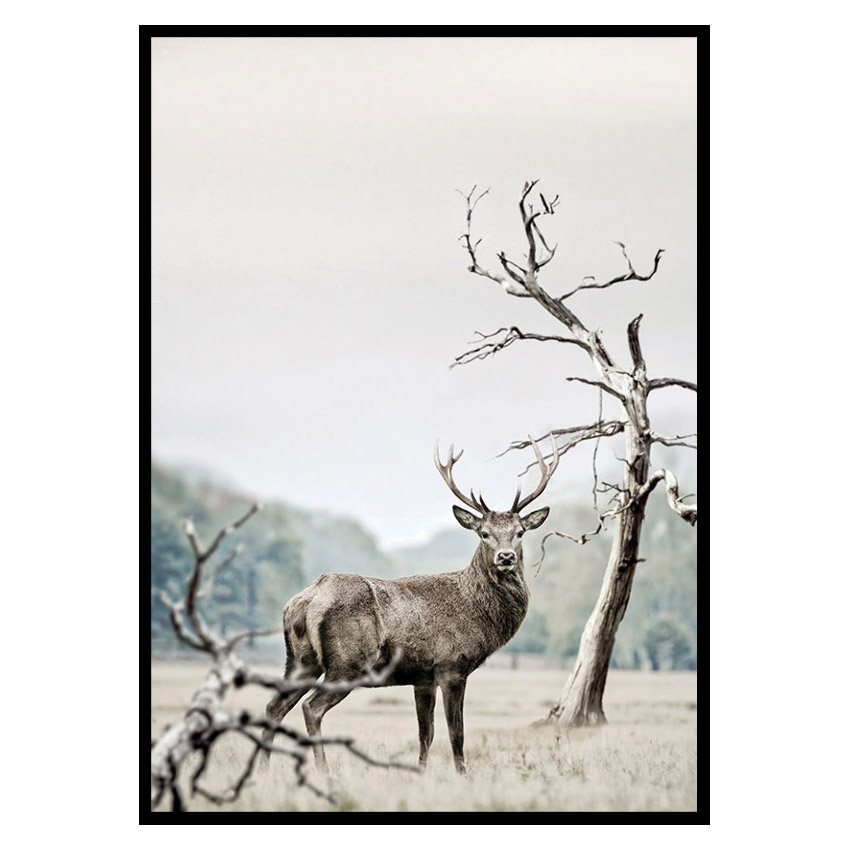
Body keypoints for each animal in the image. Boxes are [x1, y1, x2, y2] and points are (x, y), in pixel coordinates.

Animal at [261, 436, 558, 774]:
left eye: (519, 532)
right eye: (484, 533)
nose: (505, 557)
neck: (477, 612)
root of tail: (305, 599)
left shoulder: (423, 677)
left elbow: (425, 733)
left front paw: (421, 772)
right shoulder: (451, 666)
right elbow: (456, 733)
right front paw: (462, 774)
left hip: (300, 661)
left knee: (274, 706)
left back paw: (263, 768)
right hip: (347, 662)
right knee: (311, 707)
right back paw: (324, 770)